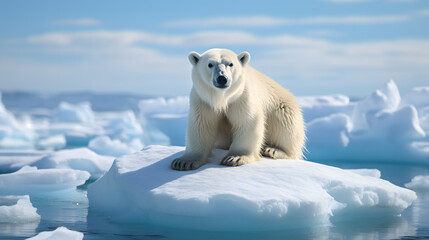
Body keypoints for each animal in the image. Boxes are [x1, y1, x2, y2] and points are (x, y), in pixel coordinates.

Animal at [171, 48, 304, 171]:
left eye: (230, 64)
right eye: (210, 64)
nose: (222, 78)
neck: (222, 98)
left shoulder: (242, 97)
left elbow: (247, 122)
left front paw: (235, 158)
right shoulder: (203, 100)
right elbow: (201, 125)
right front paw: (183, 162)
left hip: (283, 107)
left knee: (285, 127)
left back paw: (273, 150)